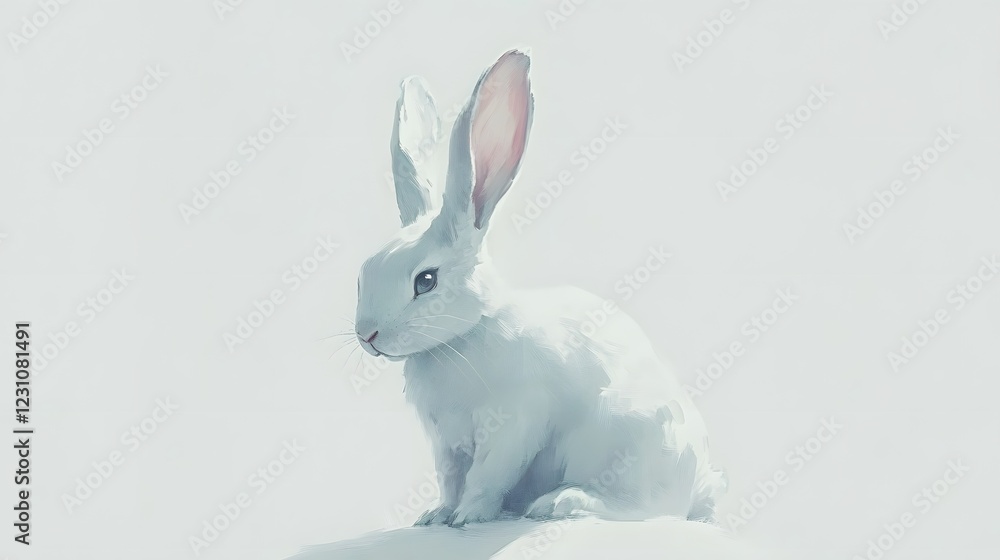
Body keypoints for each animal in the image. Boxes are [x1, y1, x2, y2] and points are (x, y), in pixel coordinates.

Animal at [354, 50, 726, 527]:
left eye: (426, 281)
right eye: (362, 274)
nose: (367, 335)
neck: (464, 336)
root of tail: (699, 486)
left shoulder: (515, 422)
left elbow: (488, 476)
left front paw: (468, 517)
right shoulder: (446, 443)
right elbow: (451, 480)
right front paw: (436, 516)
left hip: (623, 439)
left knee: (644, 507)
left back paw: (561, 503)